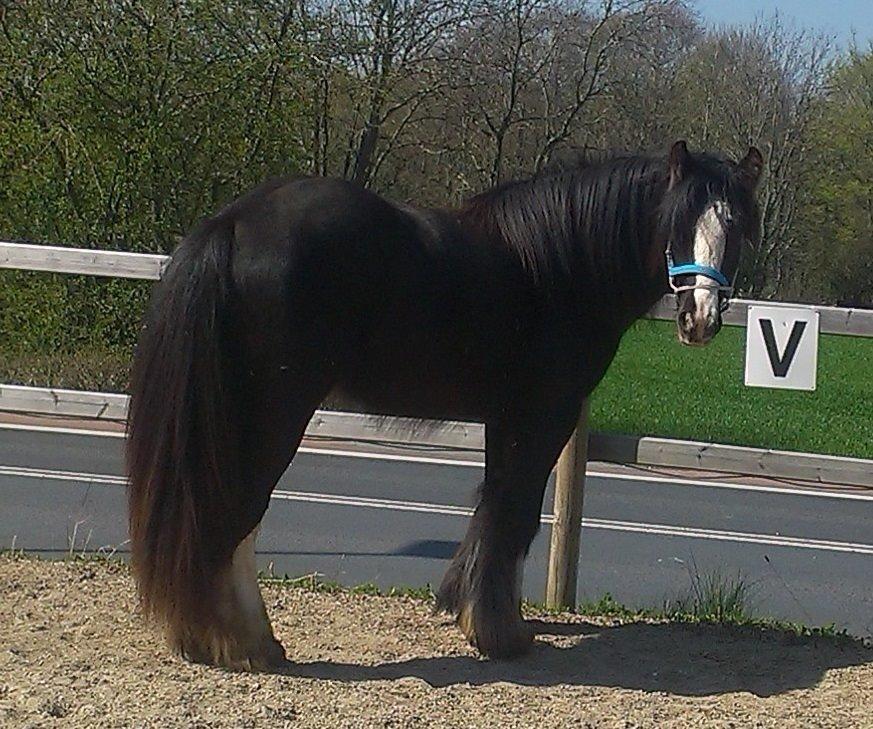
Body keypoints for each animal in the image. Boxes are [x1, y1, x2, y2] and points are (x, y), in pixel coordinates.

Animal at [126, 139, 760, 668]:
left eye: (735, 230)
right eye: (675, 223)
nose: (699, 320)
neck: (558, 267)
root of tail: (233, 223)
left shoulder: (506, 416)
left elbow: (497, 508)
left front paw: (473, 611)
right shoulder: (543, 414)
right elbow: (514, 513)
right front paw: (499, 633)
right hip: (275, 411)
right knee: (237, 515)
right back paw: (246, 643)